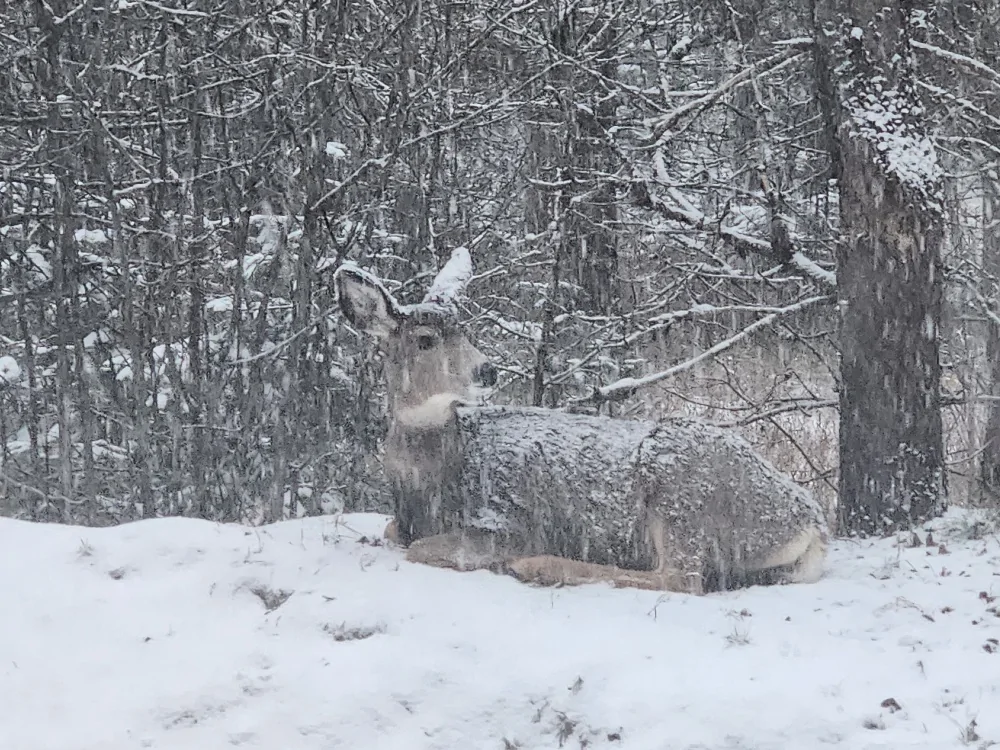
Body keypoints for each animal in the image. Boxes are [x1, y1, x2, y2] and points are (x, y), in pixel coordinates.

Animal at [333, 248, 828, 594]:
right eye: (425, 340)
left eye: (467, 330)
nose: (487, 371)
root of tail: (810, 520)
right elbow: (391, 530)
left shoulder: (509, 522)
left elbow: (420, 548)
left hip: (681, 490)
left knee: (682, 578)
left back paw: (539, 566)